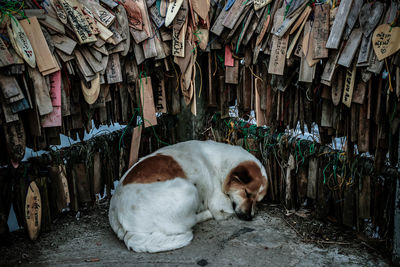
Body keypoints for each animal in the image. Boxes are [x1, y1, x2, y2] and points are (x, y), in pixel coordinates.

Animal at [108, 140, 268, 253]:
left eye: (257, 201)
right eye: (247, 193)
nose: (250, 217)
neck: (221, 164)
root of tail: (117, 216)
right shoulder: (220, 204)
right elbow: (224, 211)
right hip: (189, 189)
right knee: (189, 222)